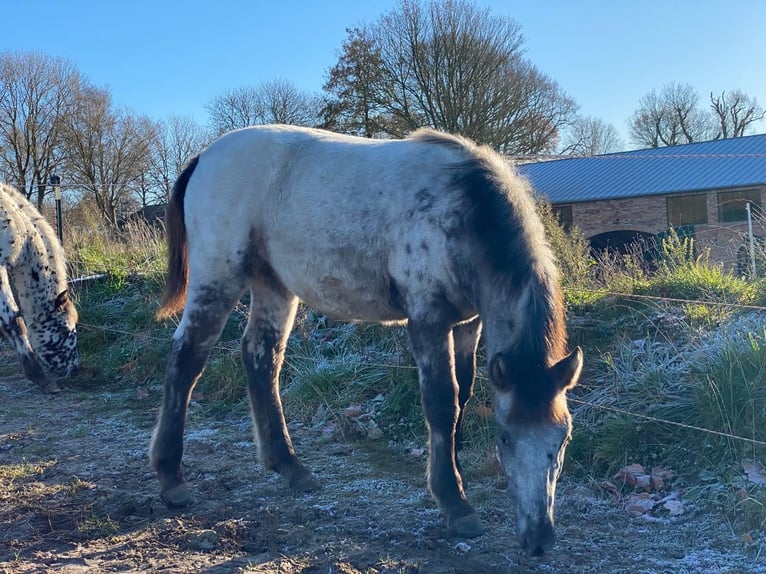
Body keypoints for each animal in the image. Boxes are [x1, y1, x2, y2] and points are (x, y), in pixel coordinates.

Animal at [150, 125, 583, 556]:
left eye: (563, 439)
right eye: (506, 437)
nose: (540, 538)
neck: (461, 209)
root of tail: (204, 156)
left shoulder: (468, 323)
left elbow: (462, 397)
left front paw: (455, 478)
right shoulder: (427, 318)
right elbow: (442, 402)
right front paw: (455, 502)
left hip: (272, 283)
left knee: (261, 357)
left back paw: (290, 466)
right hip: (217, 278)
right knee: (186, 358)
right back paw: (171, 478)